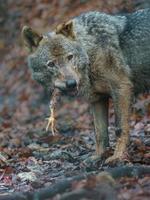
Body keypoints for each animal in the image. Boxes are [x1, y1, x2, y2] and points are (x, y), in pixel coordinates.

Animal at [22, 8, 150, 163]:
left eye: (70, 57)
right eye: (51, 64)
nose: (71, 83)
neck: (90, 52)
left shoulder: (121, 89)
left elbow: (119, 128)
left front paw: (117, 157)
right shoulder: (97, 100)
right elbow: (100, 133)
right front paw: (98, 156)